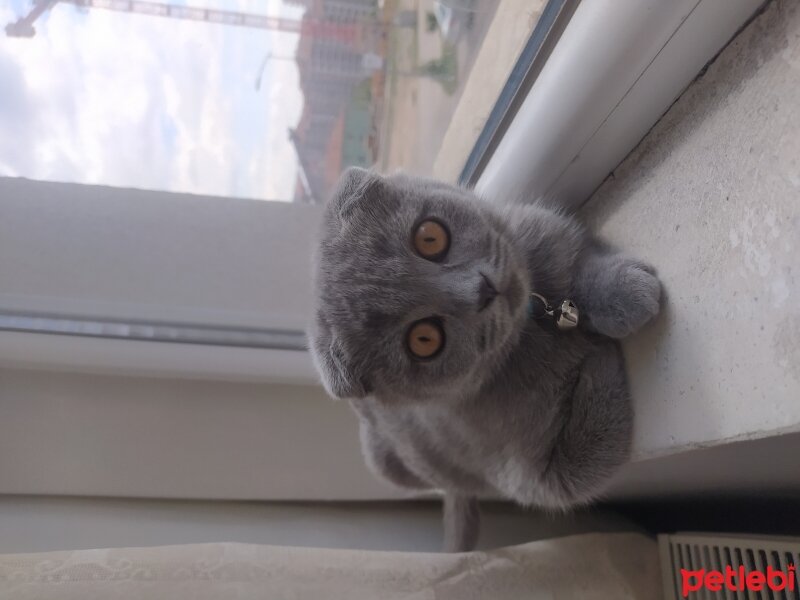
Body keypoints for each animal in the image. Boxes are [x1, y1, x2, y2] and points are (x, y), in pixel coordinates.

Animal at [310, 166, 660, 552]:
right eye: (424, 340)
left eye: (429, 237)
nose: (481, 290)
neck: (537, 322)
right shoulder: (535, 477)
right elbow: (586, 462)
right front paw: (599, 352)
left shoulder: (547, 234)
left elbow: (579, 264)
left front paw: (623, 293)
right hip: (386, 462)